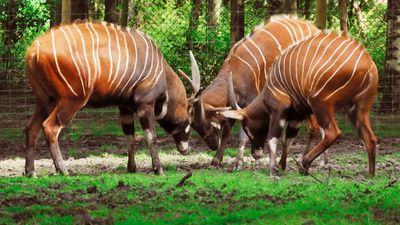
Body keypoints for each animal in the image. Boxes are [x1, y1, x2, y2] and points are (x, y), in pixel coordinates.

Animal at [25, 21, 200, 177]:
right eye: (189, 118)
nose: (186, 149)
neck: (162, 73)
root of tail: (33, 51)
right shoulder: (145, 104)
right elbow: (151, 136)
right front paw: (159, 169)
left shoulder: (124, 107)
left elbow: (130, 136)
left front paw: (132, 168)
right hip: (72, 100)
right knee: (49, 127)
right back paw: (63, 170)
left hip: (45, 100)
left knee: (31, 128)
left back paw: (31, 172)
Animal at [190, 14, 322, 170]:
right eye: (194, 126)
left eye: (207, 124)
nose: (212, 145)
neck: (236, 71)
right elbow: (227, 130)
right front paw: (217, 160)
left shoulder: (249, 104)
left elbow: (243, 135)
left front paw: (239, 163)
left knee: (315, 127)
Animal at [220, 31, 380, 177]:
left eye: (247, 127)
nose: (256, 154)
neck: (270, 87)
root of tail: (368, 66)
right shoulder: (297, 116)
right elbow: (288, 139)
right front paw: (282, 166)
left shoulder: (278, 111)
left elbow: (273, 139)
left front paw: (273, 170)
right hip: (358, 109)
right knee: (370, 138)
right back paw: (370, 174)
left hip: (321, 104)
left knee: (332, 132)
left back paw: (304, 165)